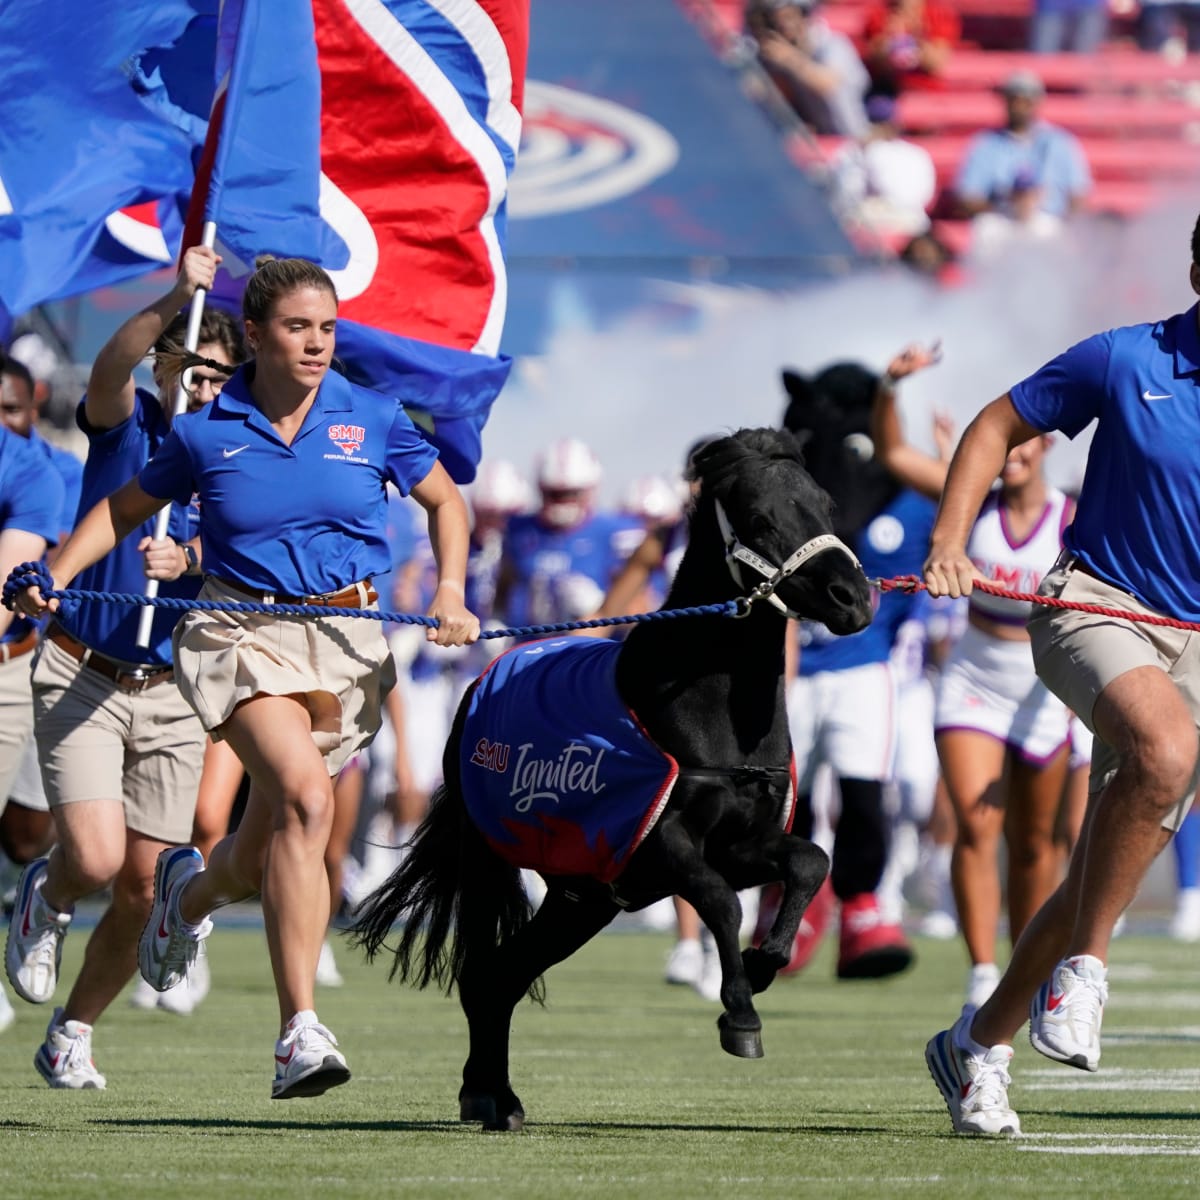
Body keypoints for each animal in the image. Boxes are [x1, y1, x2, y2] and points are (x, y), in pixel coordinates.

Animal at [352, 427, 873, 1128]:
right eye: (760, 518)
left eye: (825, 505)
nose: (855, 598)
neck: (705, 713)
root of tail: (483, 682)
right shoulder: (658, 843)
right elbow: (720, 900)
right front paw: (740, 1012)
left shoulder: (739, 846)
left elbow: (810, 862)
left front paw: (765, 963)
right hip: (490, 859)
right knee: (483, 973)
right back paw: (489, 1094)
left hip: (586, 898)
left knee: (505, 976)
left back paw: (494, 1094)